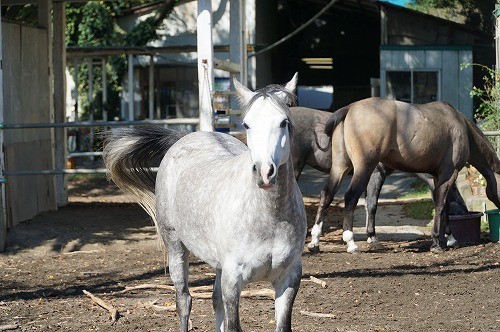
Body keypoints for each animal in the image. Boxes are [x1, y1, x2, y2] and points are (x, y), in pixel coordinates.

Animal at [103, 74, 306, 330]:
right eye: (247, 124)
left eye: (283, 122)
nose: (264, 173)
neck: (270, 218)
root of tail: (186, 137)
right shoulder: (233, 281)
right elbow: (232, 324)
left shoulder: (288, 279)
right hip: (175, 245)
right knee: (184, 301)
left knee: (215, 301)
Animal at [308, 97, 500, 253]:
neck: (461, 127)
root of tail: (349, 109)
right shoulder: (448, 175)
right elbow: (440, 206)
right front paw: (437, 243)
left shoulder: (437, 178)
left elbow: (443, 206)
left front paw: (450, 239)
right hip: (363, 169)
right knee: (350, 198)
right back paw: (351, 243)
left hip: (340, 167)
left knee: (326, 195)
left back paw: (315, 242)